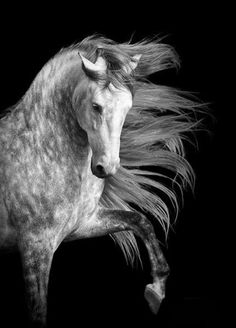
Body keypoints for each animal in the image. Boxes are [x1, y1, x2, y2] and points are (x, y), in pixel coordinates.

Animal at [0, 34, 199, 326]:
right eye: (96, 106)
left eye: (128, 107)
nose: (107, 167)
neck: (39, 151)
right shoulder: (35, 247)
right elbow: (38, 311)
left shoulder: (83, 224)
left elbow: (140, 221)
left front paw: (156, 291)